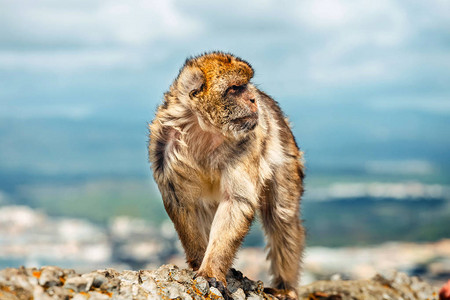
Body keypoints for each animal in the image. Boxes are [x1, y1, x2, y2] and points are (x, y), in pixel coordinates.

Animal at [148, 52, 306, 300]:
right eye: (234, 88)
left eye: (245, 85)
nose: (253, 99)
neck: (205, 129)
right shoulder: (164, 146)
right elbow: (182, 203)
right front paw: (199, 262)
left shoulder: (247, 141)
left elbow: (236, 201)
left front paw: (211, 271)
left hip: (287, 154)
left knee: (281, 216)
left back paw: (285, 287)